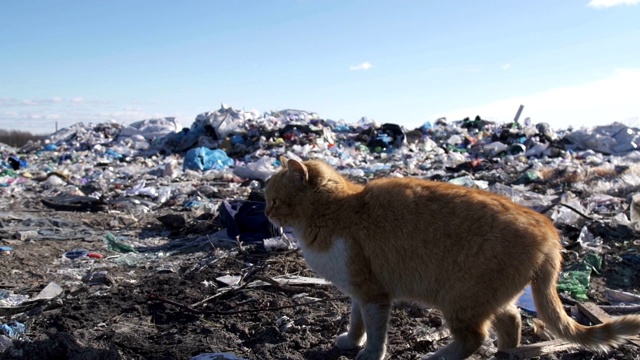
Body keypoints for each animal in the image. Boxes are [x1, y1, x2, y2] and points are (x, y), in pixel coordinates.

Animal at [264, 158, 640, 360]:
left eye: (274, 199)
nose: (266, 213)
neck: (338, 211)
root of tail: (549, 229)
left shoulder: (373, 294)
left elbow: (375, 330)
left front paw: (370, 353)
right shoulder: (360, 290)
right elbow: (356, 322)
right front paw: (350, 341)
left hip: (458, 300)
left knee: (475, 337)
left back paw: (437, 356)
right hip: (486, 297)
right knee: (512, 319)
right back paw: (505, 353)